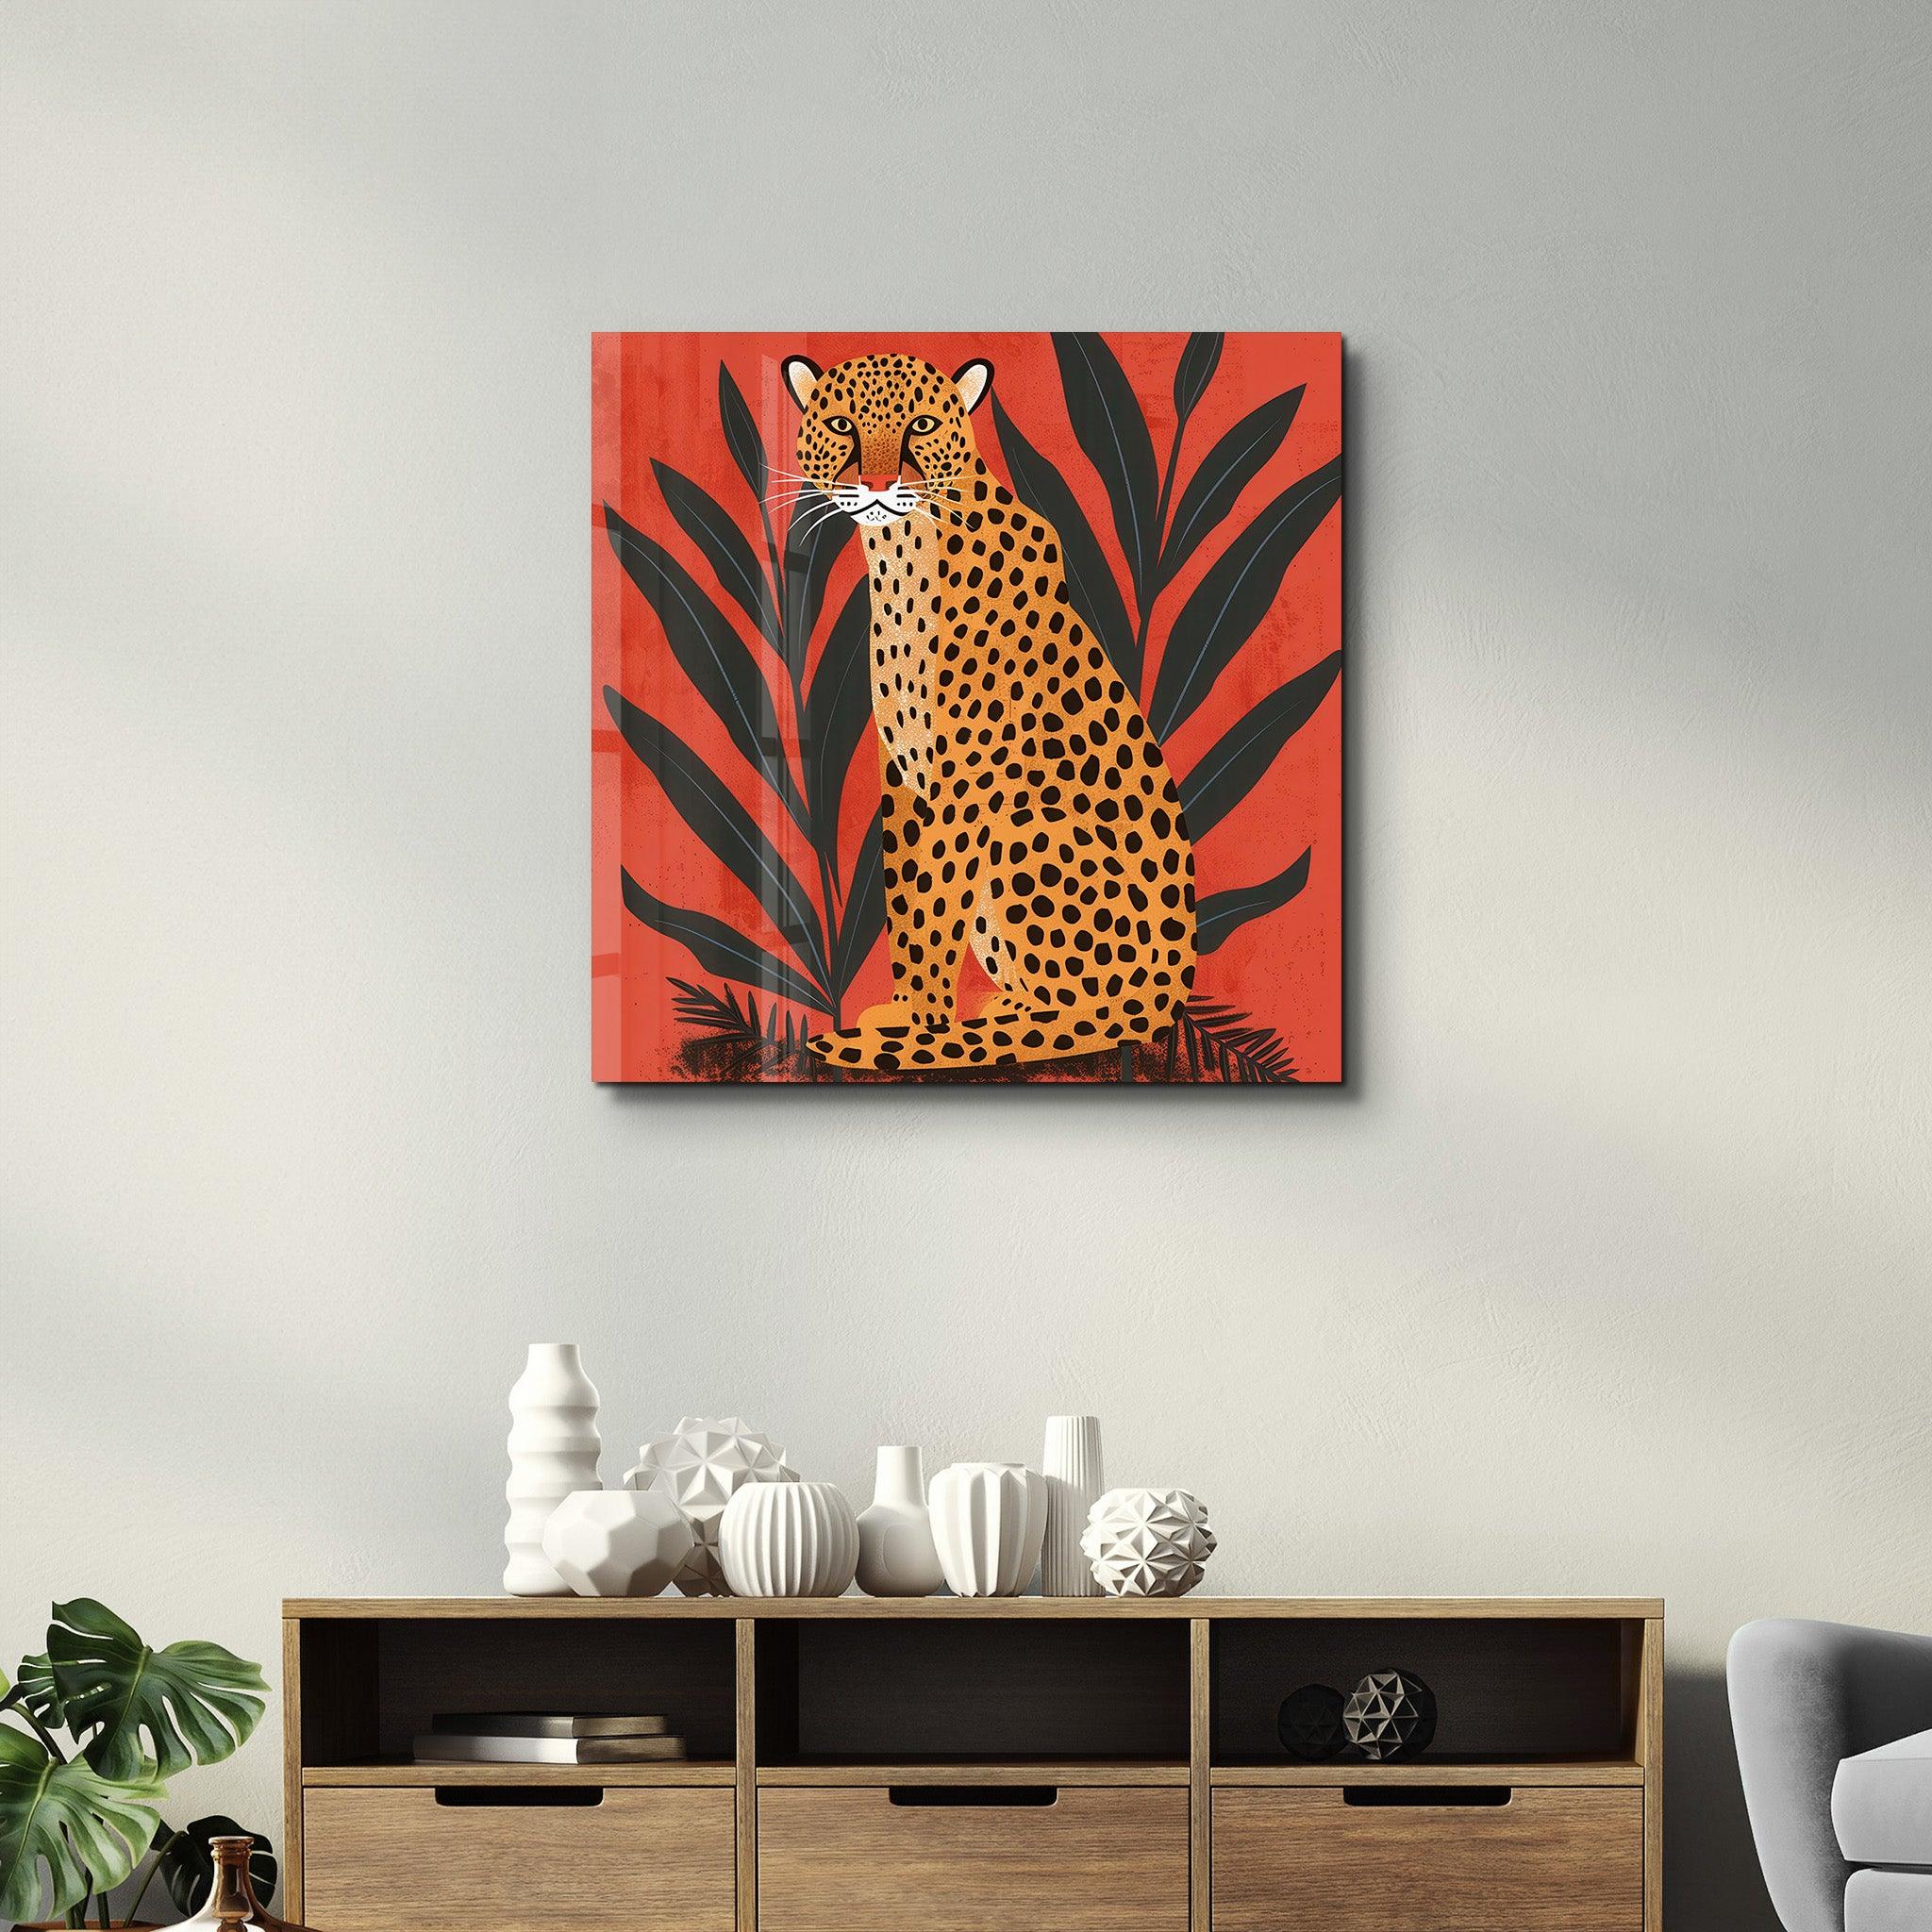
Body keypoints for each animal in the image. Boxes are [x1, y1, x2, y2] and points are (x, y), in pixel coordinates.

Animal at [781, 350, 1195, 1072]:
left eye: (920, 424)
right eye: (840, 424)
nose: (878, 483)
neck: (905, 547)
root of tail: (1171, 990)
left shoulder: (966, 783)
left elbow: (935, 897)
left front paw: (924, 1027)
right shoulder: (905, 774)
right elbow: (906, 893)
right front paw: (908, 1013)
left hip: (1027, 823)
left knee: (1092, 1016)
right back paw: (1003, 1013)